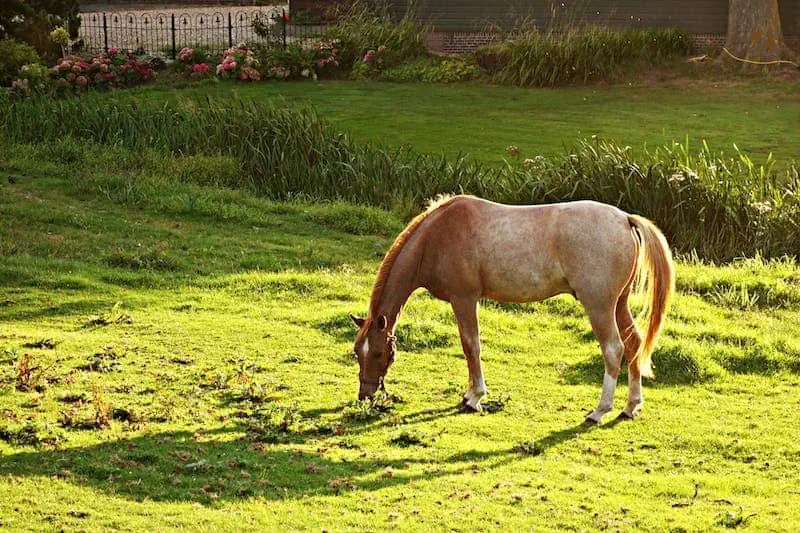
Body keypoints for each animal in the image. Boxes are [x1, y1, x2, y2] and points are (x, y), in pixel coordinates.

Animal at [350, 195, 674, 424]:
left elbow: (471, 345)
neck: (437, 236)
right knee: (634, 344)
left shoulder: (464, 299)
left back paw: (599, 411)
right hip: (618, 304)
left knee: (613, 350)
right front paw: (469, 393)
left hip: (600, 306)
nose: (365, 395)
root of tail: (624, 219)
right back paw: (631, 406)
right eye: (357, 352)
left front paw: (475, 398)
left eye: (378, 353)